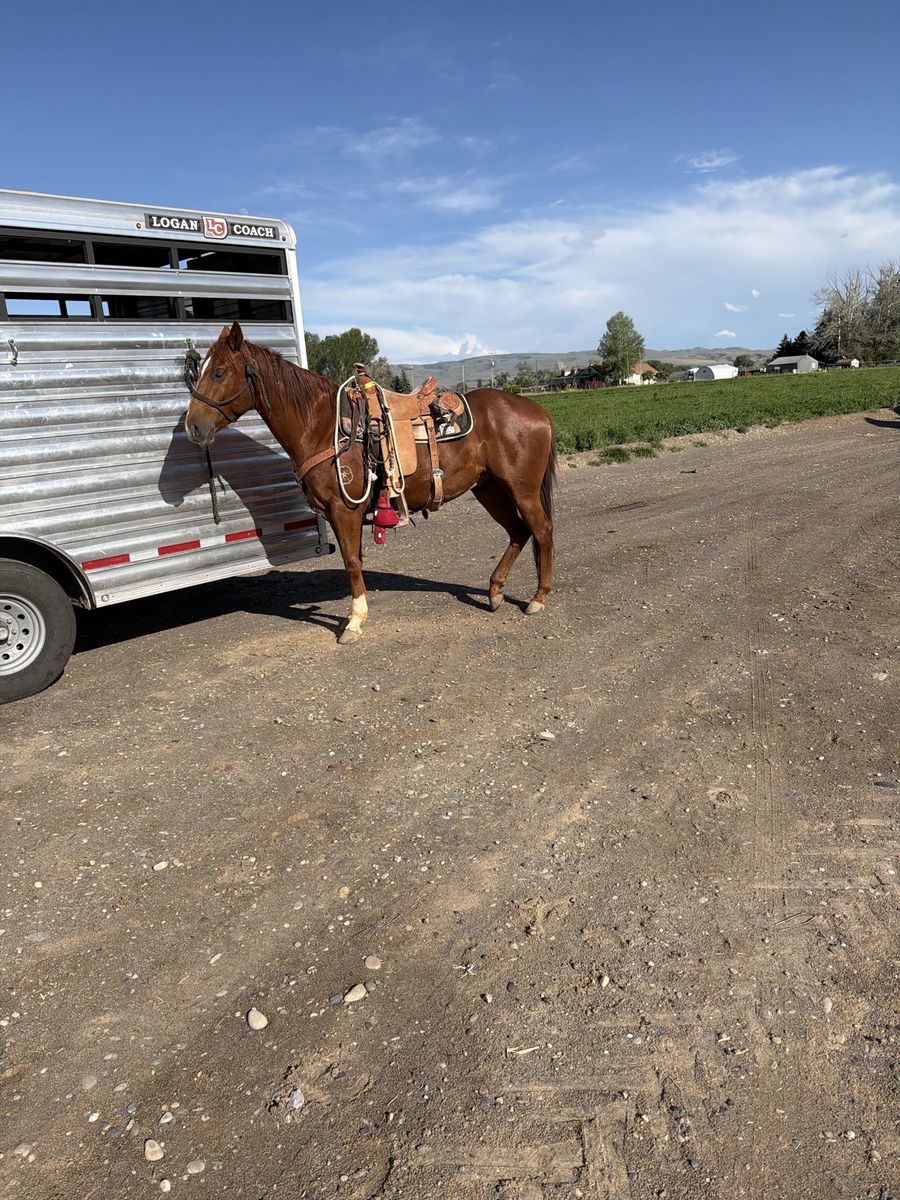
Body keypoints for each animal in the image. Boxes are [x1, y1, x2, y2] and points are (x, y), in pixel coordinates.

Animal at [184, 322, 556, 643]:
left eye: (219, 372)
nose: (193, 427)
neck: (323, 427)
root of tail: (537, 410)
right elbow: (355, 560)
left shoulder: (344, 510)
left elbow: (351, 561)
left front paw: (354, 621)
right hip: (489, 490)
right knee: (518, 532)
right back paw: (494, 591)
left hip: (521, 490)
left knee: (541, 531)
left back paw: (538, 599)